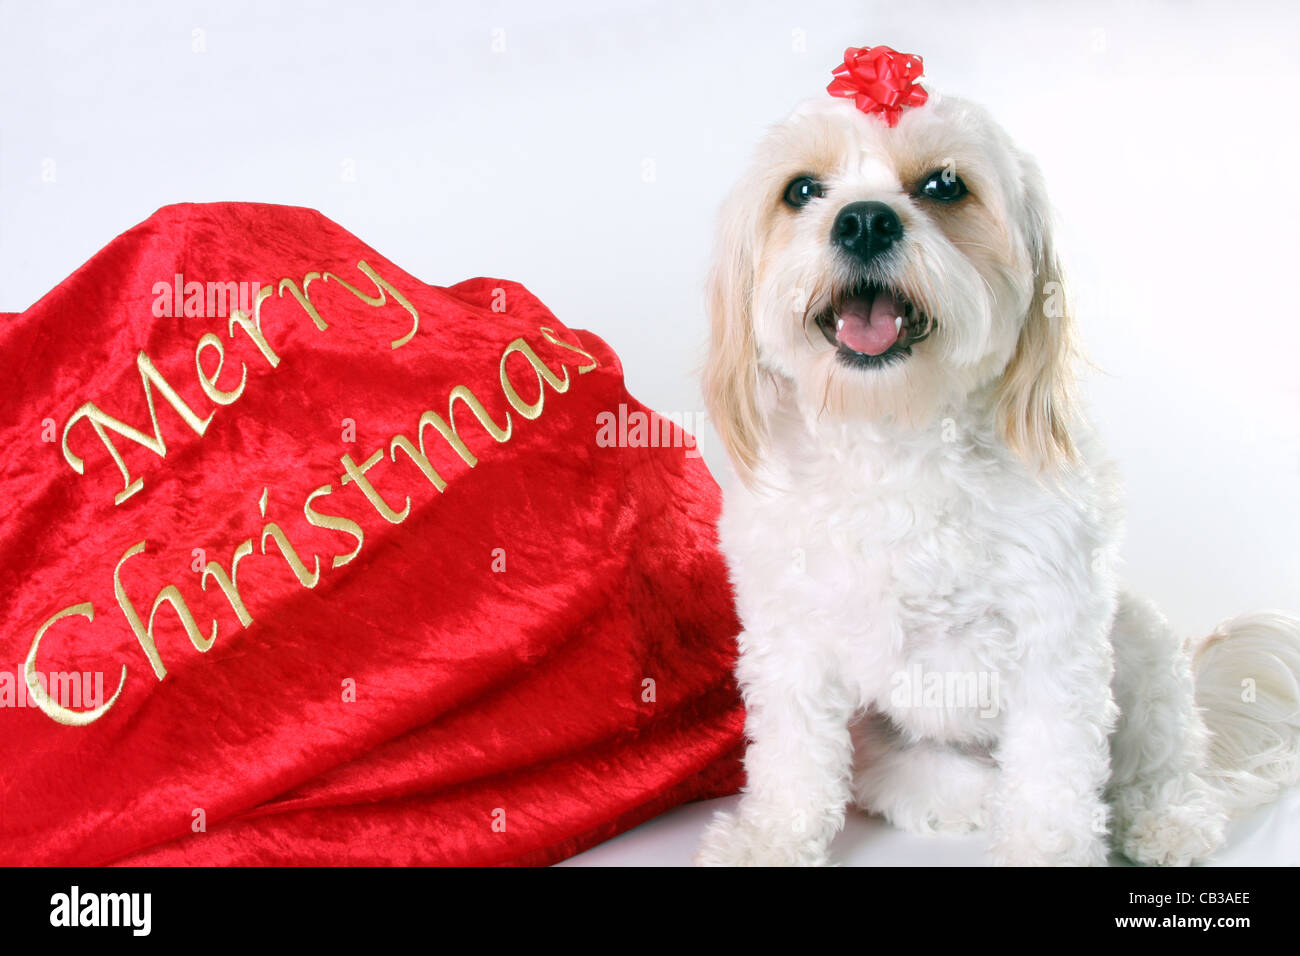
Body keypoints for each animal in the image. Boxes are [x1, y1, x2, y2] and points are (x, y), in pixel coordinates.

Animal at [702, 48, 1300, 868]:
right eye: (801, 190)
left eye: (944, 186)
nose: (864, 219)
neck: (899, 435)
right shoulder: (789, 634)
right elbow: (793, 755)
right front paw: (771, 837)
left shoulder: (1058, 637)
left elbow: (1053, 769)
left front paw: (1047, 849)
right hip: (892, 740)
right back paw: (963, 802)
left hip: (1138, 639)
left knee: (1160, 759)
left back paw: (1162, 817)